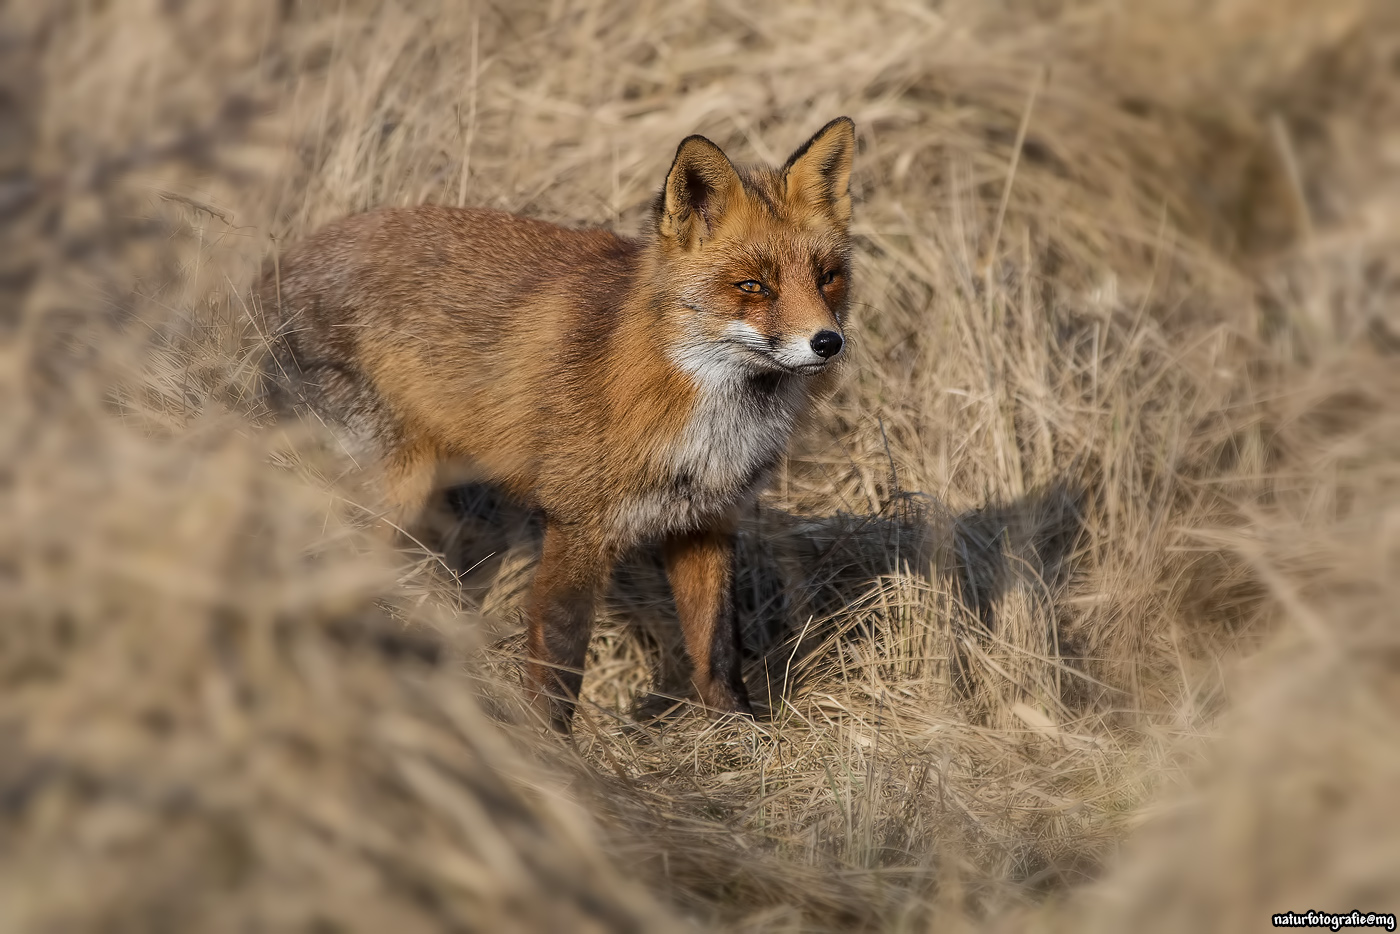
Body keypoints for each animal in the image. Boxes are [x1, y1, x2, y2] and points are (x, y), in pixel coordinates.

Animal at [257, 114, 856, 728]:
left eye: (827, 278)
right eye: (753, 286)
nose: (828, 343)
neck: (707, 422)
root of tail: (275, 268)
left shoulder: (706, 521)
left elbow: (716, 643)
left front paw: (739, 730)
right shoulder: (577, 526)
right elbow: (562, 658)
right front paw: (549, 748)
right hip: (391, 488)